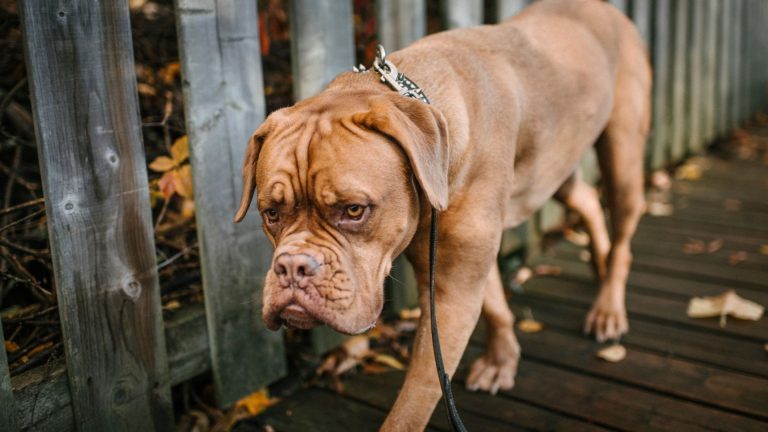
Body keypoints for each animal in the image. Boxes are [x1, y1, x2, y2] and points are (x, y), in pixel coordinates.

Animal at [232, 0, 648, 428]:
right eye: (270, 213)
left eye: (354, 210)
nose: (292, 267)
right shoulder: (454, 267)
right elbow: (494, 303)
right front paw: (502, 359)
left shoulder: (451, 290)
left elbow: (414, 400)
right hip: (553, 171)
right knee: (587, 201)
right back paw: (599, 264)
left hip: (622, 159)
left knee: (623, 233)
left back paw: (608, 308)